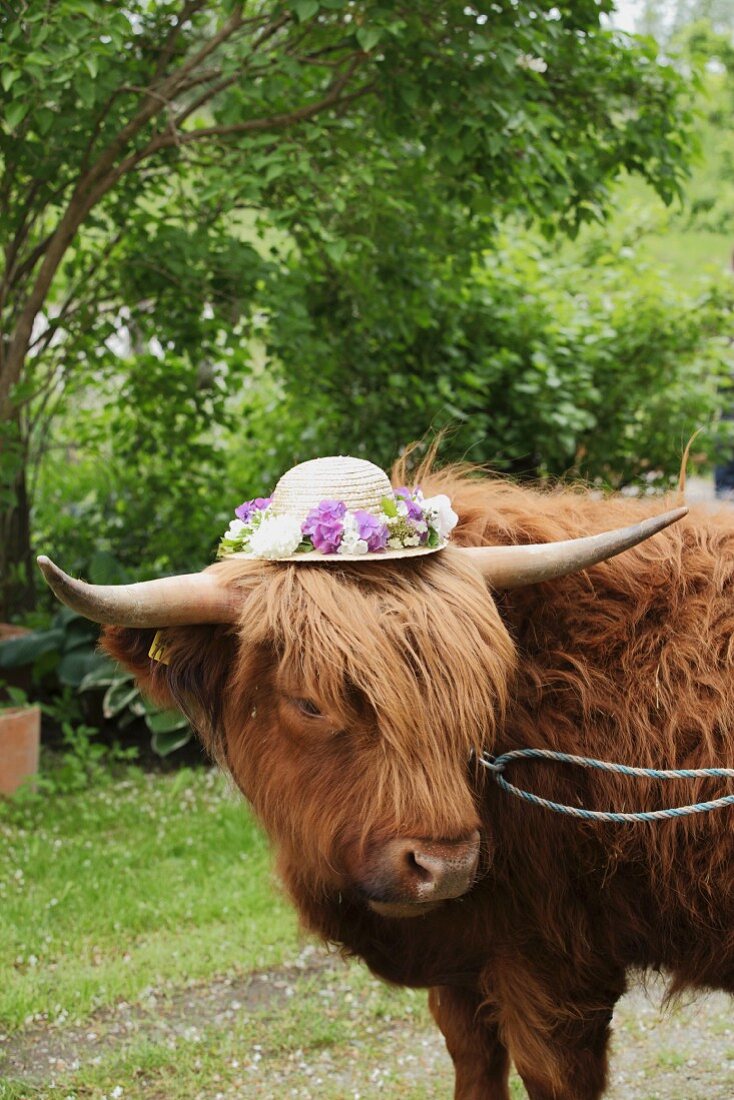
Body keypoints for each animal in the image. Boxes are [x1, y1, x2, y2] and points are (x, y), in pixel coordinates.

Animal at [38, 457, 734, 1100]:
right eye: (310, 702)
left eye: (481, 683)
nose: (445, 867)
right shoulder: (466, 959)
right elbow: (473, 1059)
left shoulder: (556, 961)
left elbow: (549, 1074)